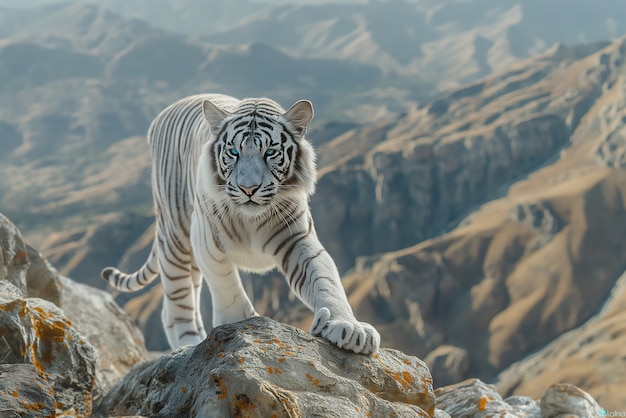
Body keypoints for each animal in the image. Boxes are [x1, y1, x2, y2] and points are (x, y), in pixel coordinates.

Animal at [100, 94, 378, 352]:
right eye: (233, 152)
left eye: (270, 152)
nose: (249, 189)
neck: (251, 218)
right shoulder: (207, 241)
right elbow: (227, 286)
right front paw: (238, 326)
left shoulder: (298, 240)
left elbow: (325, 280)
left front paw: (349, 328)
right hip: (175, 235)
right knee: (176, 303)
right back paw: (188, 343)